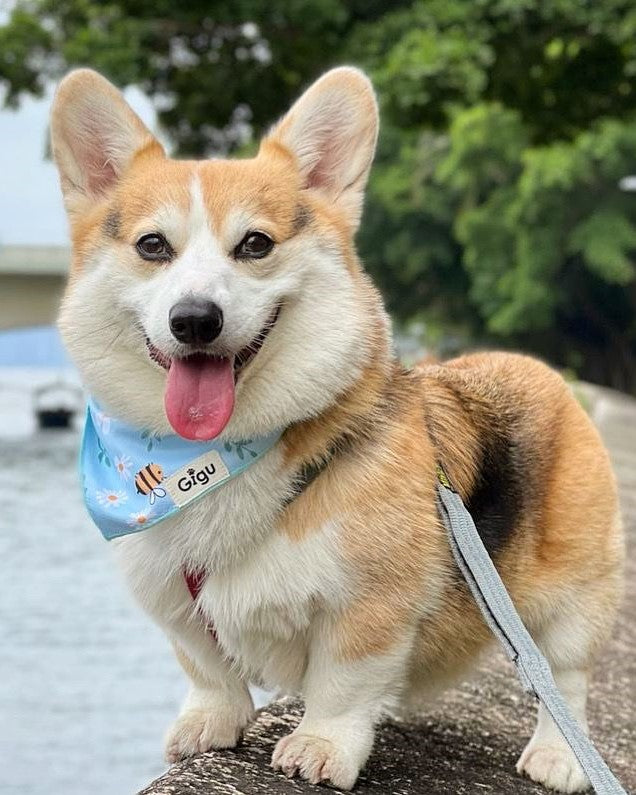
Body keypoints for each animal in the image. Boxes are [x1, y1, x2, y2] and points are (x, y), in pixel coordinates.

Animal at [52, 67, 624, 788]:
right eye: (153, 246)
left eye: (256, 244)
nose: (195, 319)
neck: (201, 461)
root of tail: (539, 369)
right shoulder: (173, 603)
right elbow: (207, 668)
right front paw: (211, 723)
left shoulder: (371, 607)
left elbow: (342, 683)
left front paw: (320, 746)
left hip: (577, 591)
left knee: (563, 674)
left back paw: (558, 755)